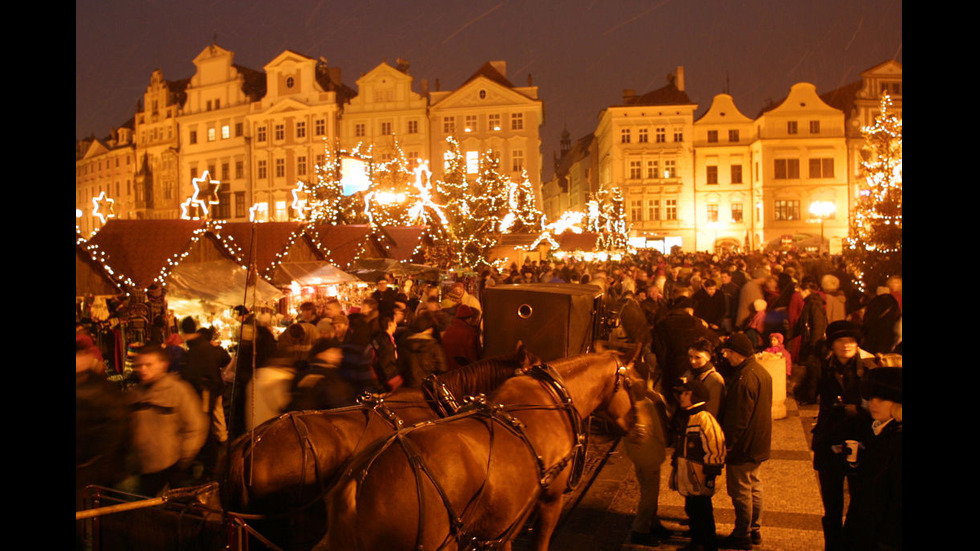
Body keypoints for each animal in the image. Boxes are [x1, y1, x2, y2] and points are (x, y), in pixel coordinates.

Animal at [316, 352, 636, 551]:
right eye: (632, 384)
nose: (633, 422)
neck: (553, 397)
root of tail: (357, 484)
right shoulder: (550, 499)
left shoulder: (505, 523)